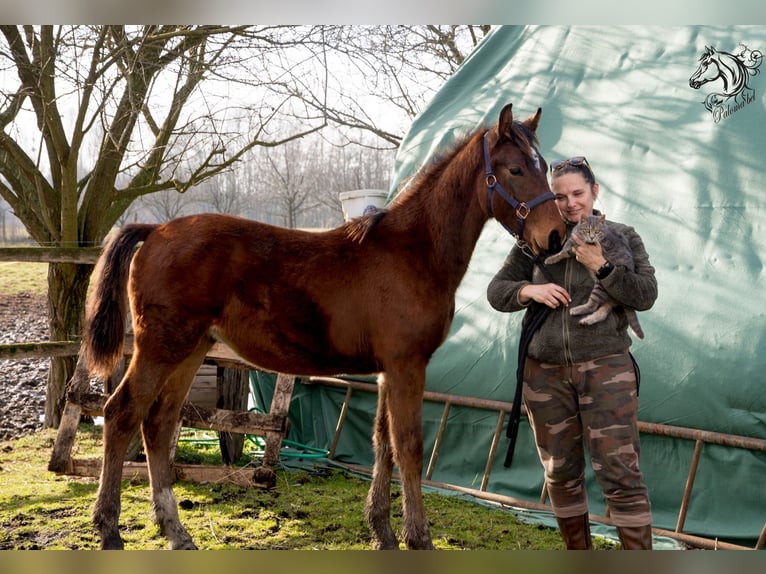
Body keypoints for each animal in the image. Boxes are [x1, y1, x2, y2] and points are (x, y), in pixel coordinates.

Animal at [84, 101, 568, 552]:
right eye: (516, 168)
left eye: (544, 165)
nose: (556, 236)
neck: (412, 252)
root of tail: (155, 229)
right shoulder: (407, 366)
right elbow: (409, 446)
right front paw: (419, 538)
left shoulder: (387, 370)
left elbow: (382, 444)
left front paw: (383, 532)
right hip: (161, 347)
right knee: (121, 413)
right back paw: (110, 530)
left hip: (191, 349)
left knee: (159, 423)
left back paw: (175, 532)